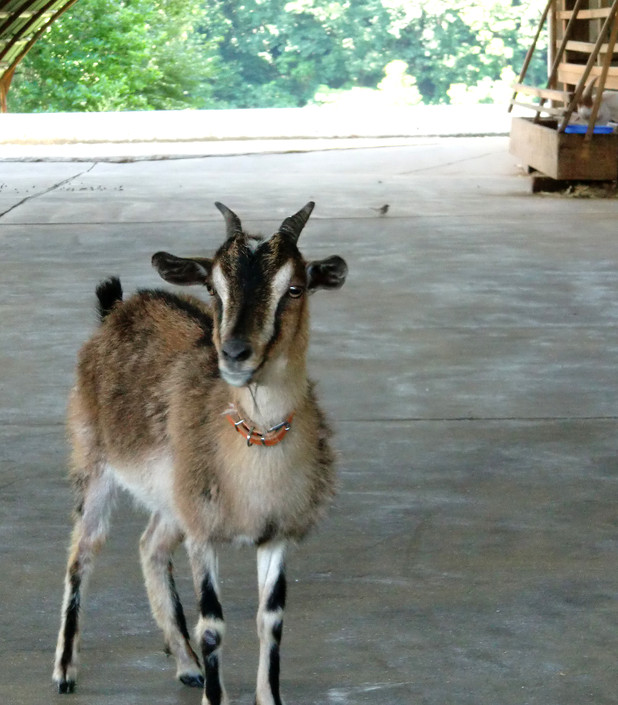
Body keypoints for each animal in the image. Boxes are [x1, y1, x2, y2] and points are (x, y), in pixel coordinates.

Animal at [52, 201, 348, 705]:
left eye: (294, 288)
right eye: (212, 286)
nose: (235, 353)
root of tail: (118, 309)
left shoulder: (274, 531)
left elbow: (271, 620)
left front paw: (268, 696)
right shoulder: (202, 532)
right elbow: (212, 624)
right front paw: (216, 694)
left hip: (173, 499)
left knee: (150, 546)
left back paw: (187, 665)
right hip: (93, 461)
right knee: (81, 554)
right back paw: (66, 670)